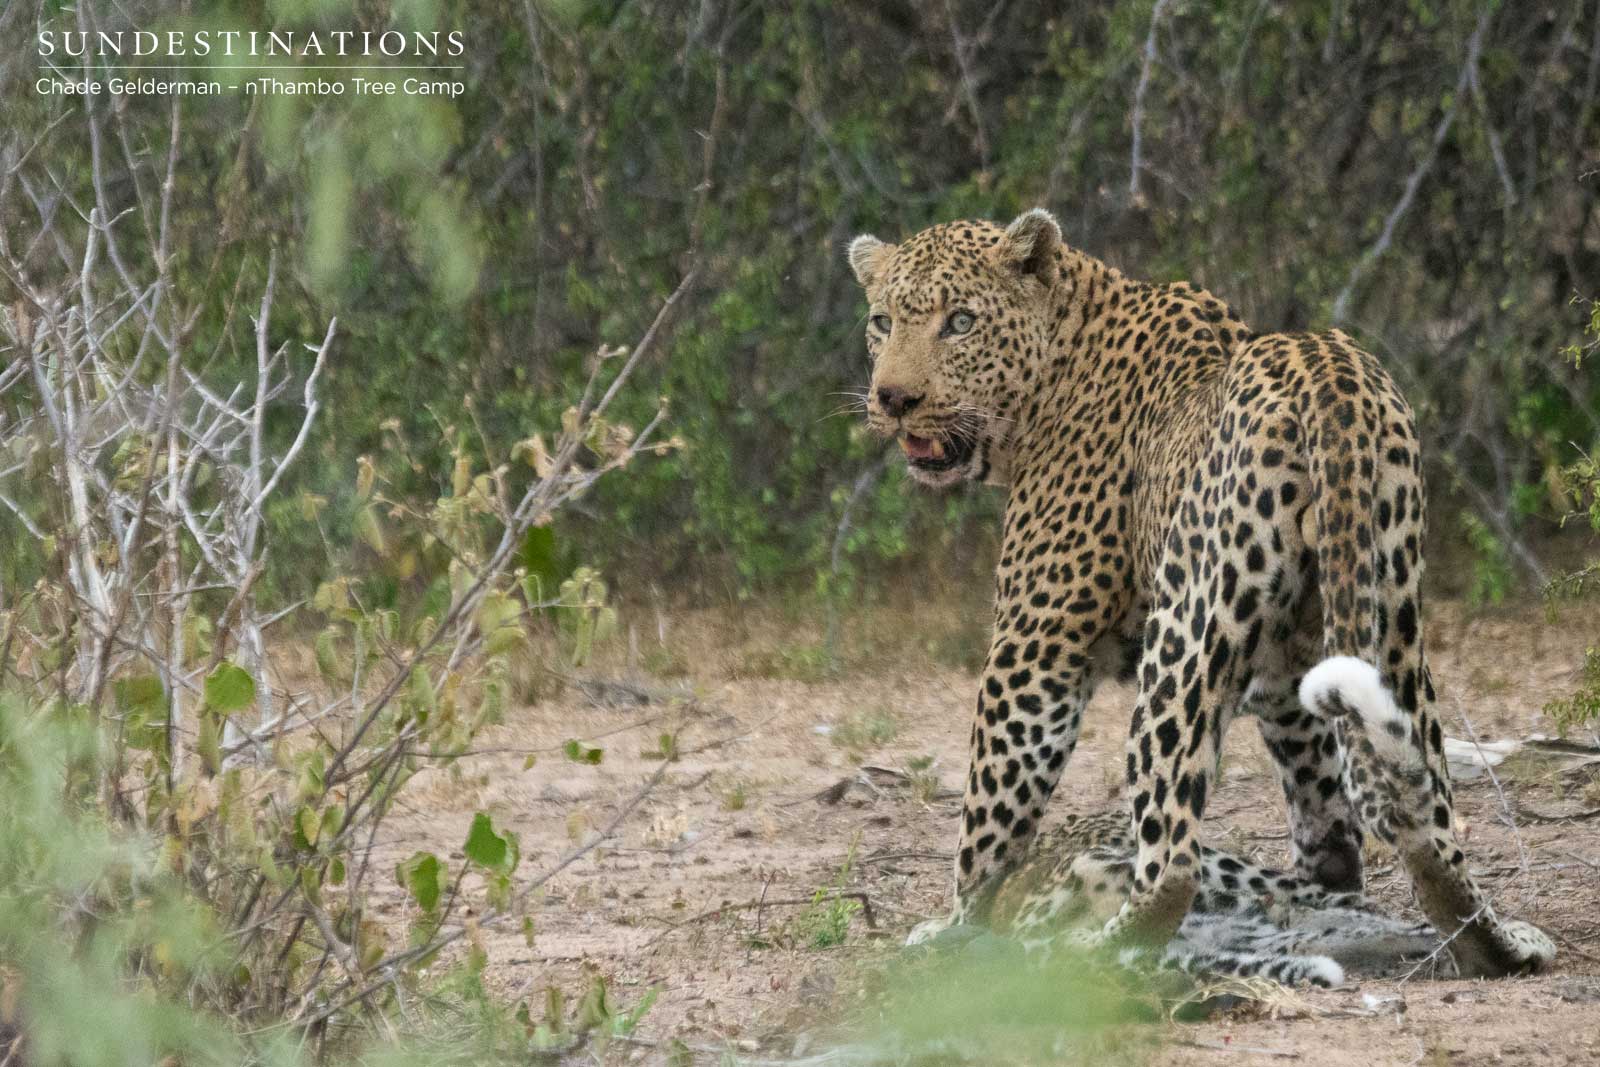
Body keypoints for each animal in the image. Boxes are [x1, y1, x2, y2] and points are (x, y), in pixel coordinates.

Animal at [845, 208, 1554, 978]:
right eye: (882, 321)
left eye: (961, 321)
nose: (893, 399)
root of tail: (1328, 373)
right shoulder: (1285, 668)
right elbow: (1326, 815)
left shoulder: (1036, 646)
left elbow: (989, 808)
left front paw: (956, 926)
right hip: (1392, 613)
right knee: (1422, 824)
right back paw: (1490, 940)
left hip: (1187, 630)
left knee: (1170, 860)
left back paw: (1099, 945)